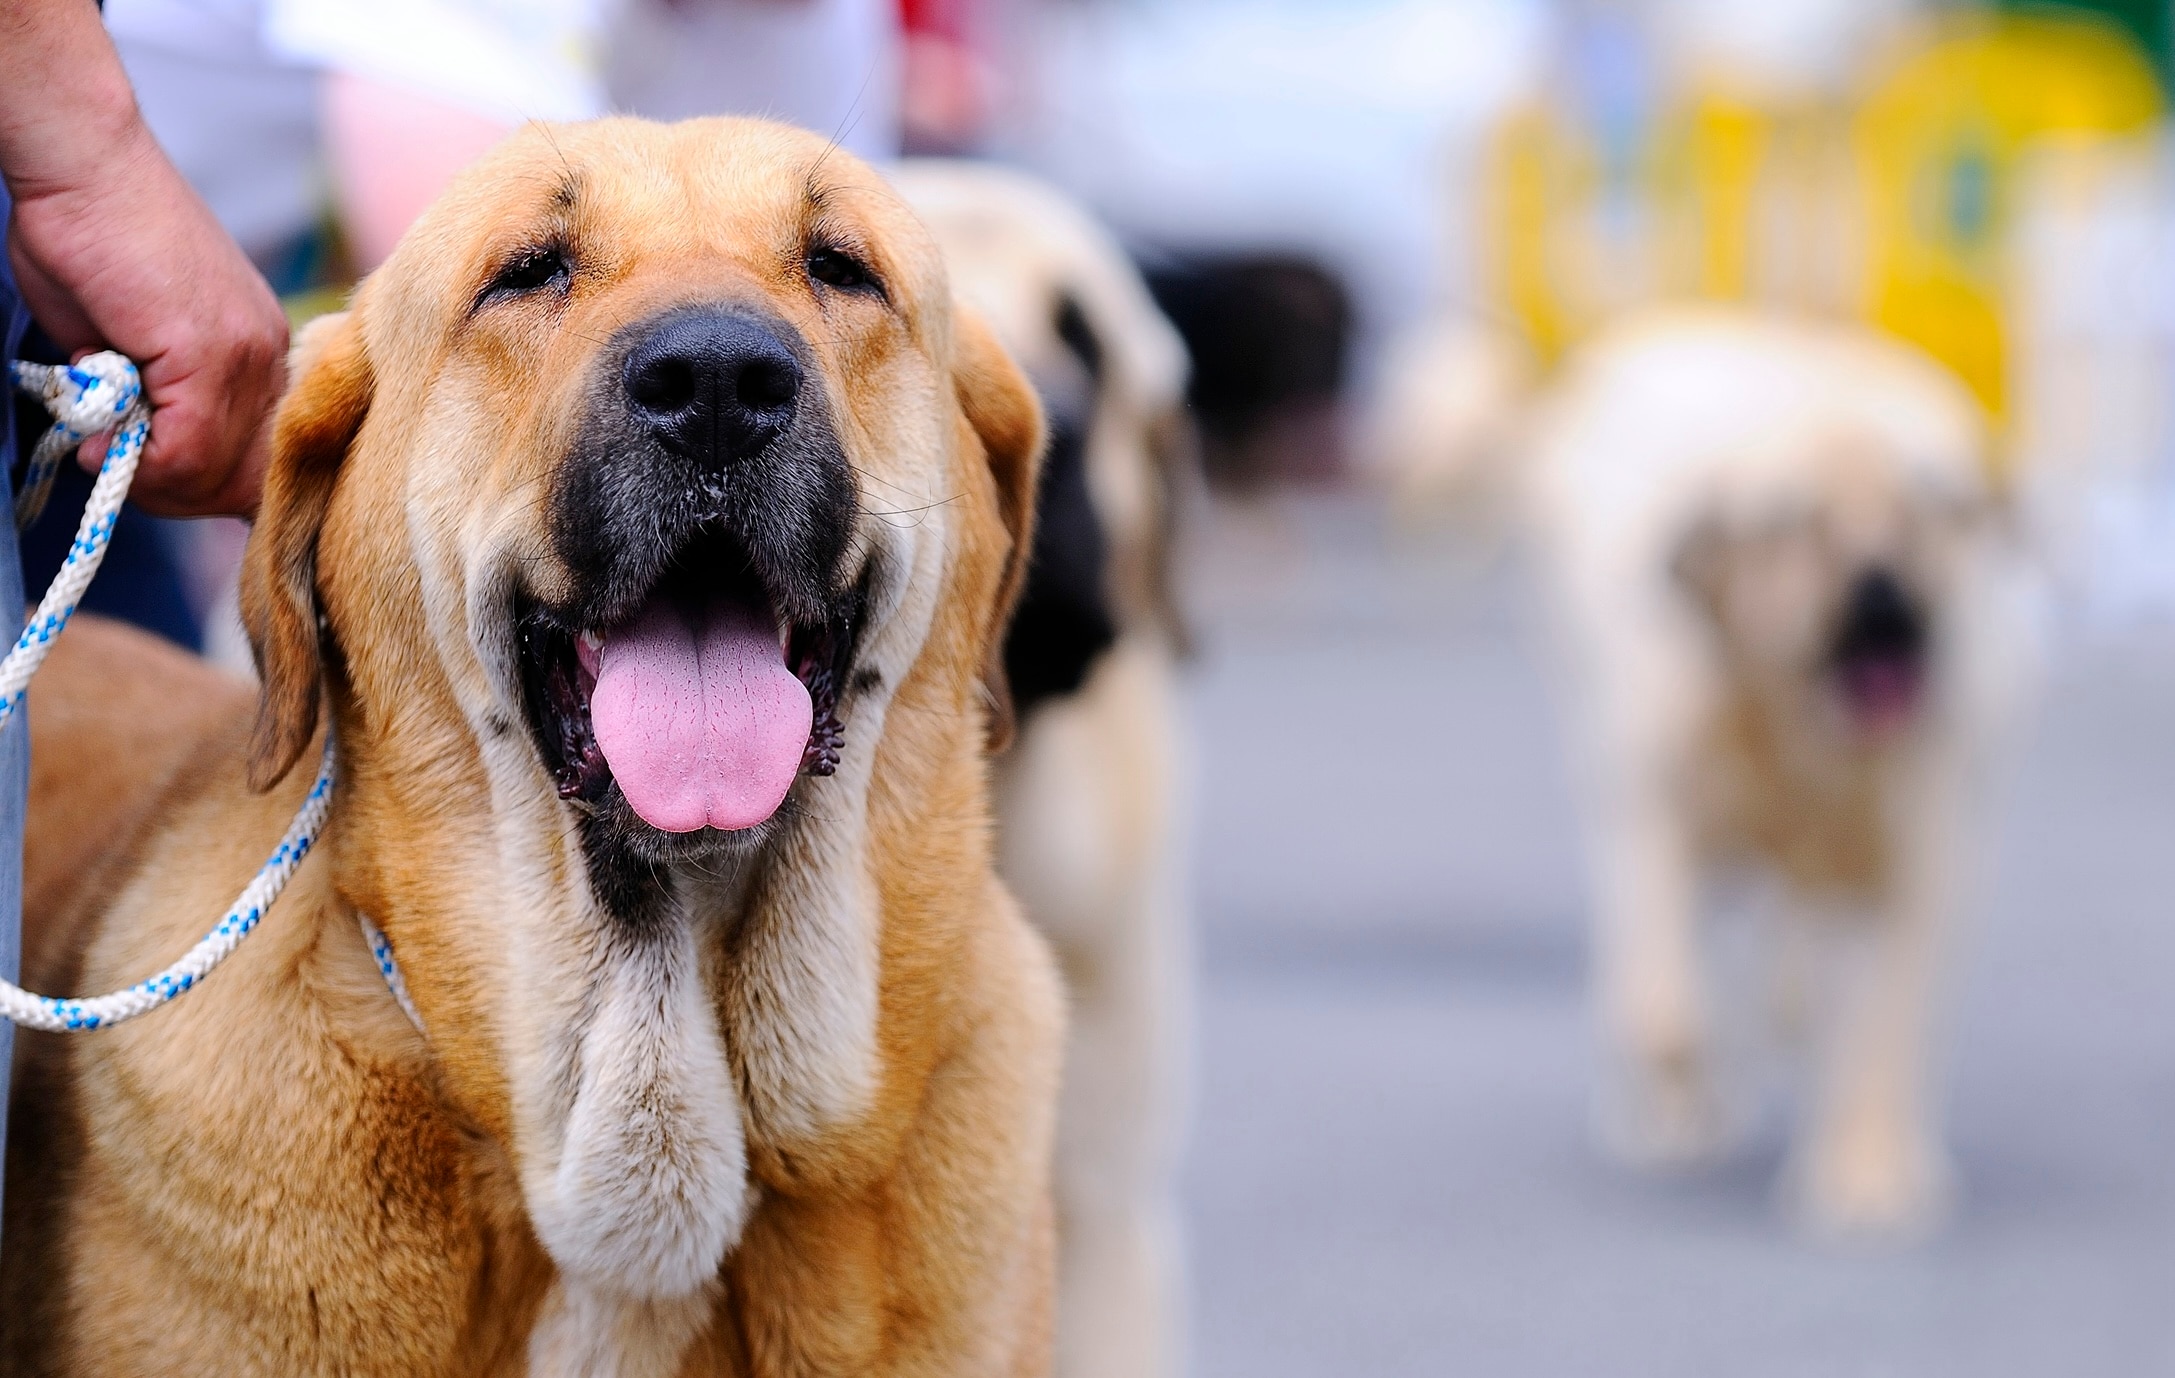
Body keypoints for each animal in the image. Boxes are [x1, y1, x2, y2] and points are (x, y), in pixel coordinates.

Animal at [1522, 310, 2027, 1234]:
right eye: (1798, 522)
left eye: (1921, 513)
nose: (1882, 591)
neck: (1804, 739)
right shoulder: (1658, 807)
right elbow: (1663, 1006)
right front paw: (1680, 1096)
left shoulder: (1924, 860)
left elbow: (1883, 1026)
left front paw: (1869, 1175)